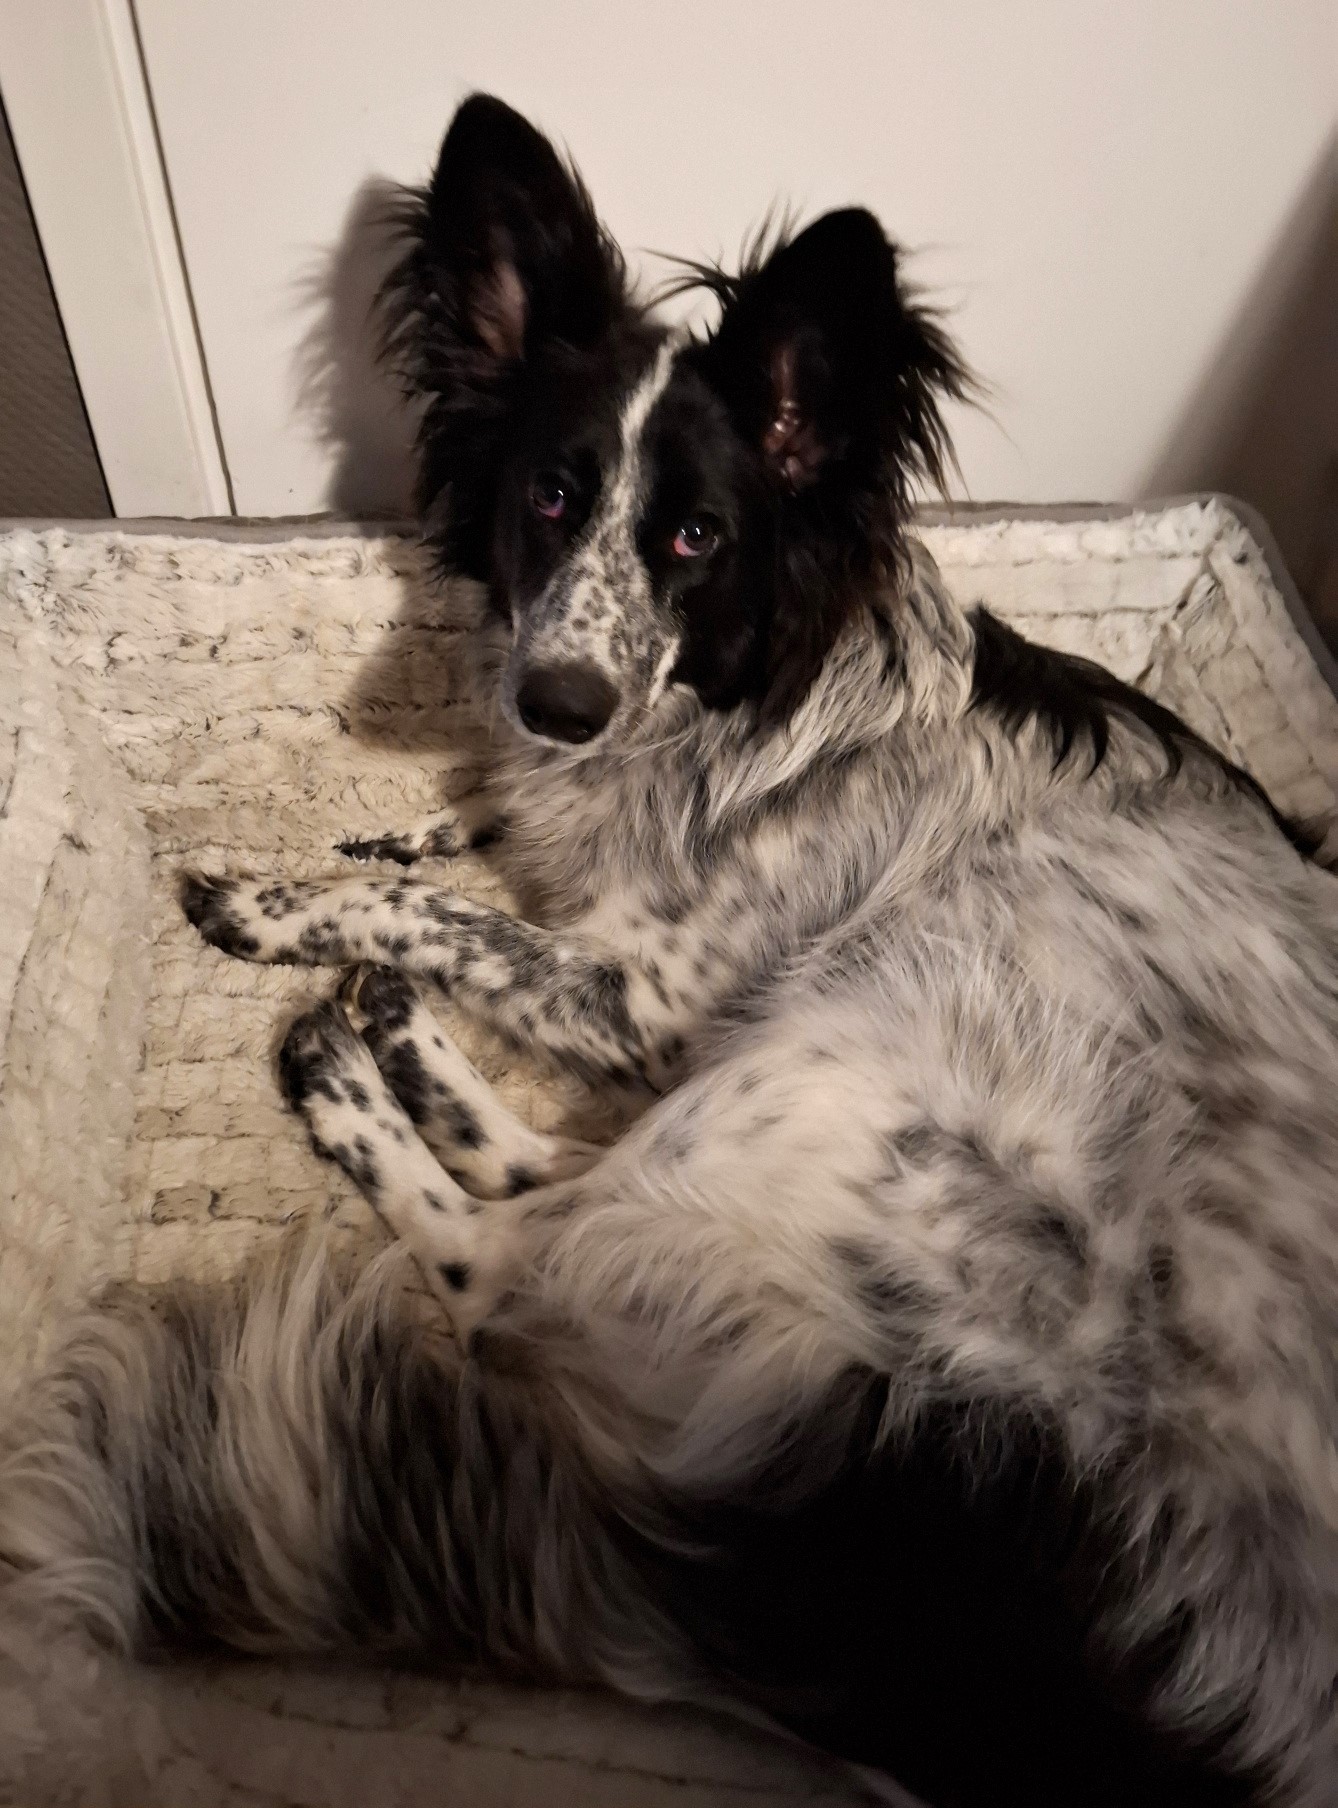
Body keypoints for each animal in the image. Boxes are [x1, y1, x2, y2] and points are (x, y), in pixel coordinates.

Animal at [2, 93, 1336, 1808]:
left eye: (698, 535)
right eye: (548, 498)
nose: (560, 700)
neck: (732, 715)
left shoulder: (644, 1000)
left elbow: (453, 917)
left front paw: (288, 906)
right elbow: (477, 850)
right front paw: (432, 825)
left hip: (858, 1047)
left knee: (501, 1262)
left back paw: (352, 1078)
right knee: (541, 1178)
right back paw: (402, 1041)